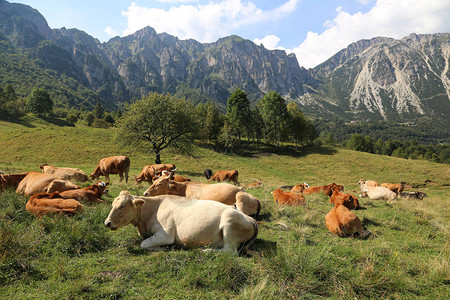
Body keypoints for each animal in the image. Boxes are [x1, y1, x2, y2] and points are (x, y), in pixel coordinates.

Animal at [103, 191, 256, 254]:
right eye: (112, 204)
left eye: (122, 206)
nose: (107, 223)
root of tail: (251, 219)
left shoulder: (166, 235)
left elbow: (144, 244)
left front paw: (164, 248)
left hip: (229, 222)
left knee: (230, 251)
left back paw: (206, 250)